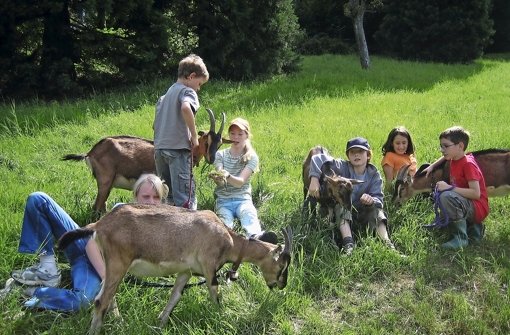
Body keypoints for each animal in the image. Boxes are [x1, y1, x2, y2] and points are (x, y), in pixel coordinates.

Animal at [56, 205, 290, 335]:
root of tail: (99, 225)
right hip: (118, 262)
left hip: (111, 265)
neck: (229, 239)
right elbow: (215, 294)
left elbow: (175, 295)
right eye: (282, 265)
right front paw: (222, 317)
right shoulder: (209, 266)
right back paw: (95, 330)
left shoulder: (186, 271)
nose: (281, 285)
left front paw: (160, 322)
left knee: (107, 295)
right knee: (101, 300)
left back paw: (119, 321)